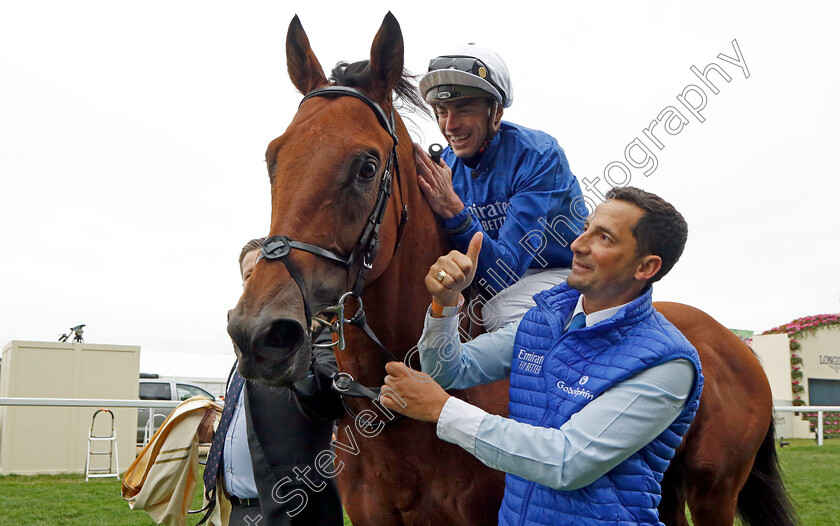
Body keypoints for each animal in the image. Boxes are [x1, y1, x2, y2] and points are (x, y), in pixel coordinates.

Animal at [226, 12, 796, 526]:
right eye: (273, 158)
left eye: (366, 166)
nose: (260, 333)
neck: (392, 411)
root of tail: (734, 343)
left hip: (714, 490)